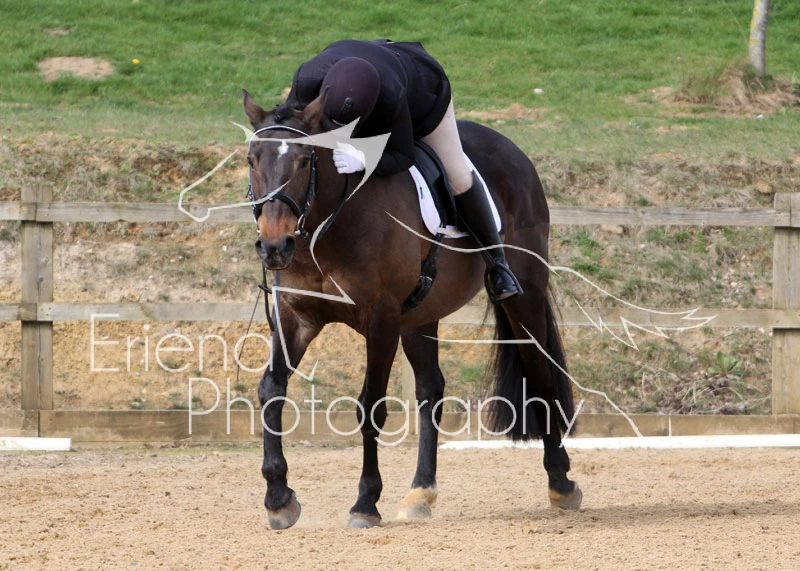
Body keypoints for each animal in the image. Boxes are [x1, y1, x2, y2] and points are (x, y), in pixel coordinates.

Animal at [242, 88, 582, 529]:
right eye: (252, 160)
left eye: (304, 160)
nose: (273, 246)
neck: (329, 222)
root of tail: (514, 152)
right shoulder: (296, 317)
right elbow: (271, 389)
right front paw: (278, 497)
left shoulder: (381, 320)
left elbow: (370, 406)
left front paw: (365, 502)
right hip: (419, 317)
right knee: (431, 390)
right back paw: (421, 492)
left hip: (523, 297)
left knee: (540, 372)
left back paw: (561, 482)